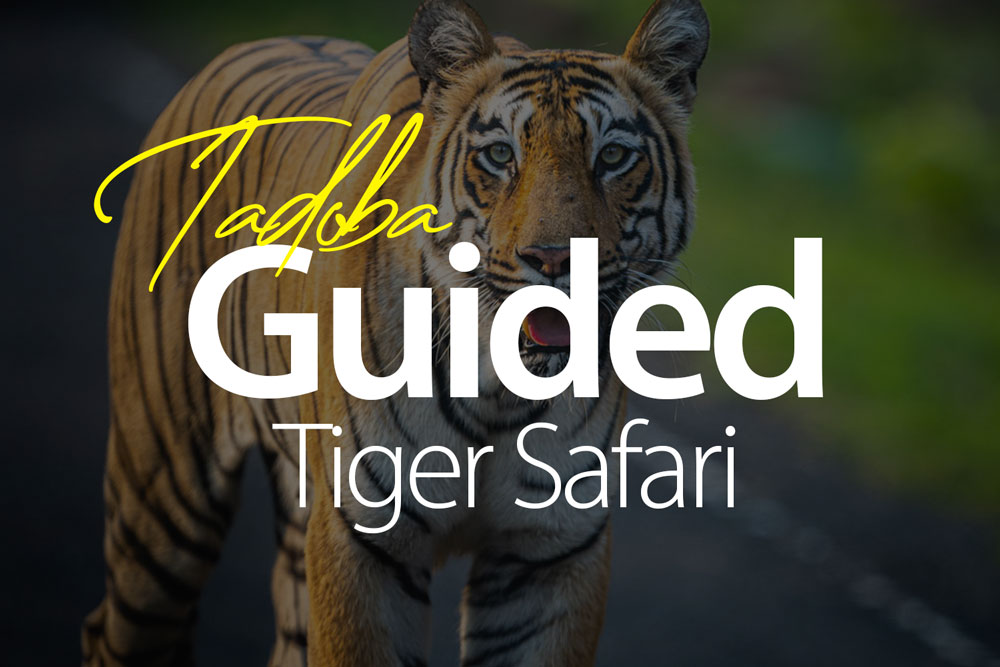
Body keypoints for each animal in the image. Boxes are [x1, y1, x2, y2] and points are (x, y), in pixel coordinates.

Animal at [81, 0, 709, 665]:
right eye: (500, 155)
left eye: (612, 157)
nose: (554, 258)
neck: (500, 392)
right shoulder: (362, 544)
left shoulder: (548, 554)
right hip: (165, 491)